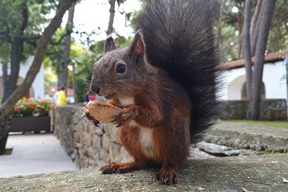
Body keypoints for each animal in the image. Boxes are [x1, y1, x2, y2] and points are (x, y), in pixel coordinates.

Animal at [84, 0, 219, 184]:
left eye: (121, 68)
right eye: (95, 64)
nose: (94, 88)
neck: (127, 96)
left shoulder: (155, 93)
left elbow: (155, 116)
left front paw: (130, 112)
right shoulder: (115, 102)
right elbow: (110, 105)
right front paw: (88, 112)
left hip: (173, 131)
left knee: (172, 160)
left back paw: (167, 171)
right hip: (127, 134)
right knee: (141, 162)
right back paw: (122, 165)